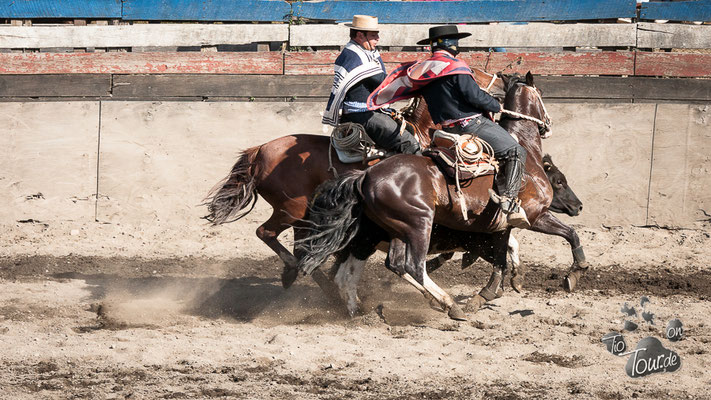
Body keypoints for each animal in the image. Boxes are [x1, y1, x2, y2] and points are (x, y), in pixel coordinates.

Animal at [203, 68, 506, 290]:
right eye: (474, 74)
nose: (503, 86)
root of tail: (260, 150)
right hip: (291, 209)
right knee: (266, 233)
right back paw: (298, 275)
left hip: (301, 214)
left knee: (299, 246)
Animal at [296, 73, 588, 320]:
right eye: (559, 181)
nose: (579, 206)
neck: (525, 154)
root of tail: (365, 175)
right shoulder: (533, 216)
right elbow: (562, 235)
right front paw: (574, 273)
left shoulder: (498, 225)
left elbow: (505, 254)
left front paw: (511, 281)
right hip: (418, 224)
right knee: (410, 266)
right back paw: (448, 305)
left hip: (392, 230)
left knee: (373, 267)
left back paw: (358, 310)